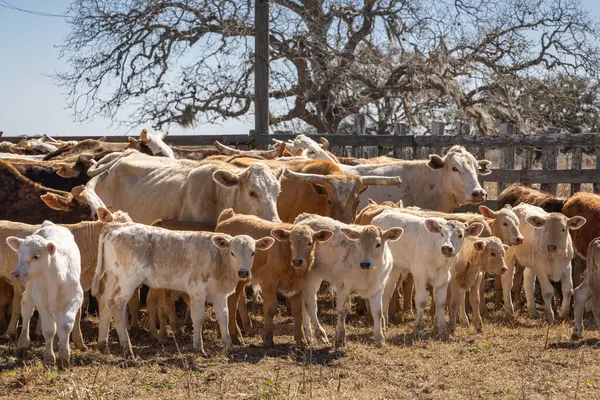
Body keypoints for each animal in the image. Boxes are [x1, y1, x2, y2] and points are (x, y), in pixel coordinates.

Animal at [5, 220, 84, 368]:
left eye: (36, 256)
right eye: (19, 255)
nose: (15, 274)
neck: (53, 279)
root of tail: (49, 224)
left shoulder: (75, 298)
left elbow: (66, 324)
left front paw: (65, 356)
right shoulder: (41, 300)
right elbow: (48, 329)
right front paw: (49, 358)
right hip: (31, 288)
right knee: (27, 309)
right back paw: (22, 345)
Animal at [92, 223, 276, 358]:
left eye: (253, 252)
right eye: (232, 253)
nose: (243, 272)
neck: (218, 259)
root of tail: (116, 226)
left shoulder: (220, 294)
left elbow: (224, 317)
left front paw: (229, 346)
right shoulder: (197, 292)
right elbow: (198, 318)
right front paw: (199, 347)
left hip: (111, 276)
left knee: (104, 301)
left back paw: (103, 345)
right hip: (127, 280)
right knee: (116, 304)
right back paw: (126, 348)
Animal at [214, 209, 332, 346]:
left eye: (310, 243)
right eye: (290, 242)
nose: (297, 261)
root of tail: (228, 216)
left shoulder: (298, 286)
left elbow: (297, 311)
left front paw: (301, 339)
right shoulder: (269, 283)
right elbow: (270, 309)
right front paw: (268, 338)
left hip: (243, 276)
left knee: (238, 299)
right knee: (232, 302)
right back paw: (235, 336)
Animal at [292, 212, 400, 346]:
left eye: (378, 244)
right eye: (359, 243)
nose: (365, 263)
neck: (368, 273)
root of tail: (304, 216)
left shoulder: (378, 287)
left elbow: (378, 312)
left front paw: (380, 339)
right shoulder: (343, 285)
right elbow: (343, 309)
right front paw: (340, 337)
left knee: (304, 302)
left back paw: (308, 335)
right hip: (311, 275)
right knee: (310, 303)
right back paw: (320, 334)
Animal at [372, 211, 486, 340]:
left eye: (460, 235)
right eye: (442, 233)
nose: (446, 248)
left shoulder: (444, 278)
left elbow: (441, 302)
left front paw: (442, 330)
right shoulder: (419, 273)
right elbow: (421, 301)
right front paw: (419, 329)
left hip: (394, 268)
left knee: (387, 294)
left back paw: (384, 325)